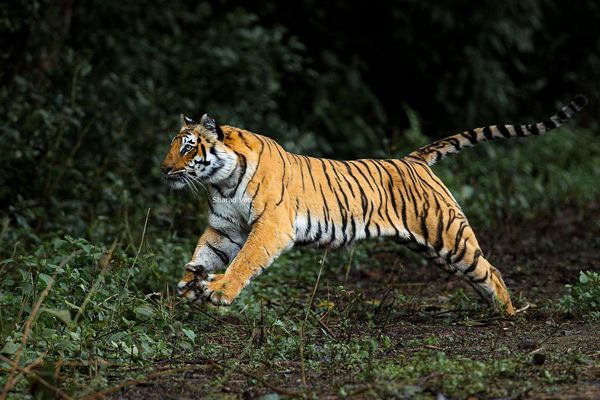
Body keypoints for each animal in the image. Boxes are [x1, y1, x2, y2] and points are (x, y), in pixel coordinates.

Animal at [159, 95, 584, 314]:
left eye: (188, 147)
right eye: (173, 145)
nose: (164, 169)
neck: (223, 181)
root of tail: (415, 159)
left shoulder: (270, 226)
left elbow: (245, 260)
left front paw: (219, 291)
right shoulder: (224, 227)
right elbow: (204, 253)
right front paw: (188, 283)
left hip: (450, 236)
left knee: (490, 269)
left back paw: (508, 315)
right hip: (433, 248)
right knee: (479, 273)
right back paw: (492, 311)